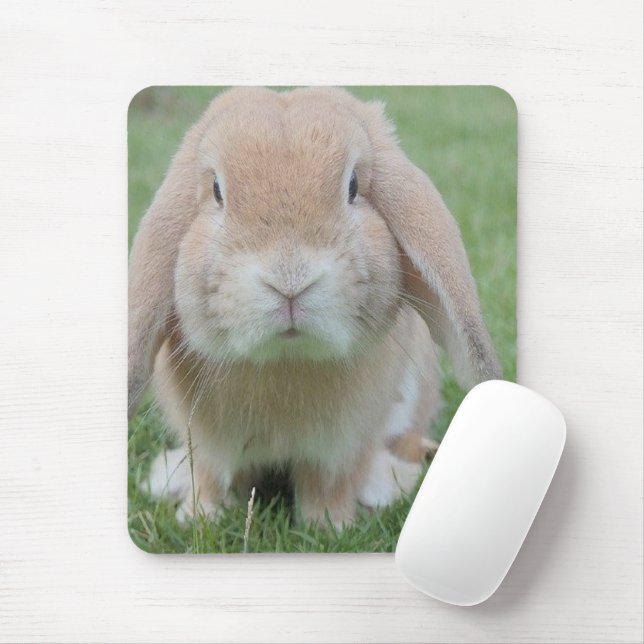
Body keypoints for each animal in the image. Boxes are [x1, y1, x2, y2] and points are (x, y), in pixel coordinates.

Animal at [129, 87, 501, 528]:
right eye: (217, 190)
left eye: (353, 185)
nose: (290, 281)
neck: (286, 359)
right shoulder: (208, 446)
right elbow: (211, 479)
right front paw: (199, 518)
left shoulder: (341, 448)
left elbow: (329, 485)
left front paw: (330, 527)